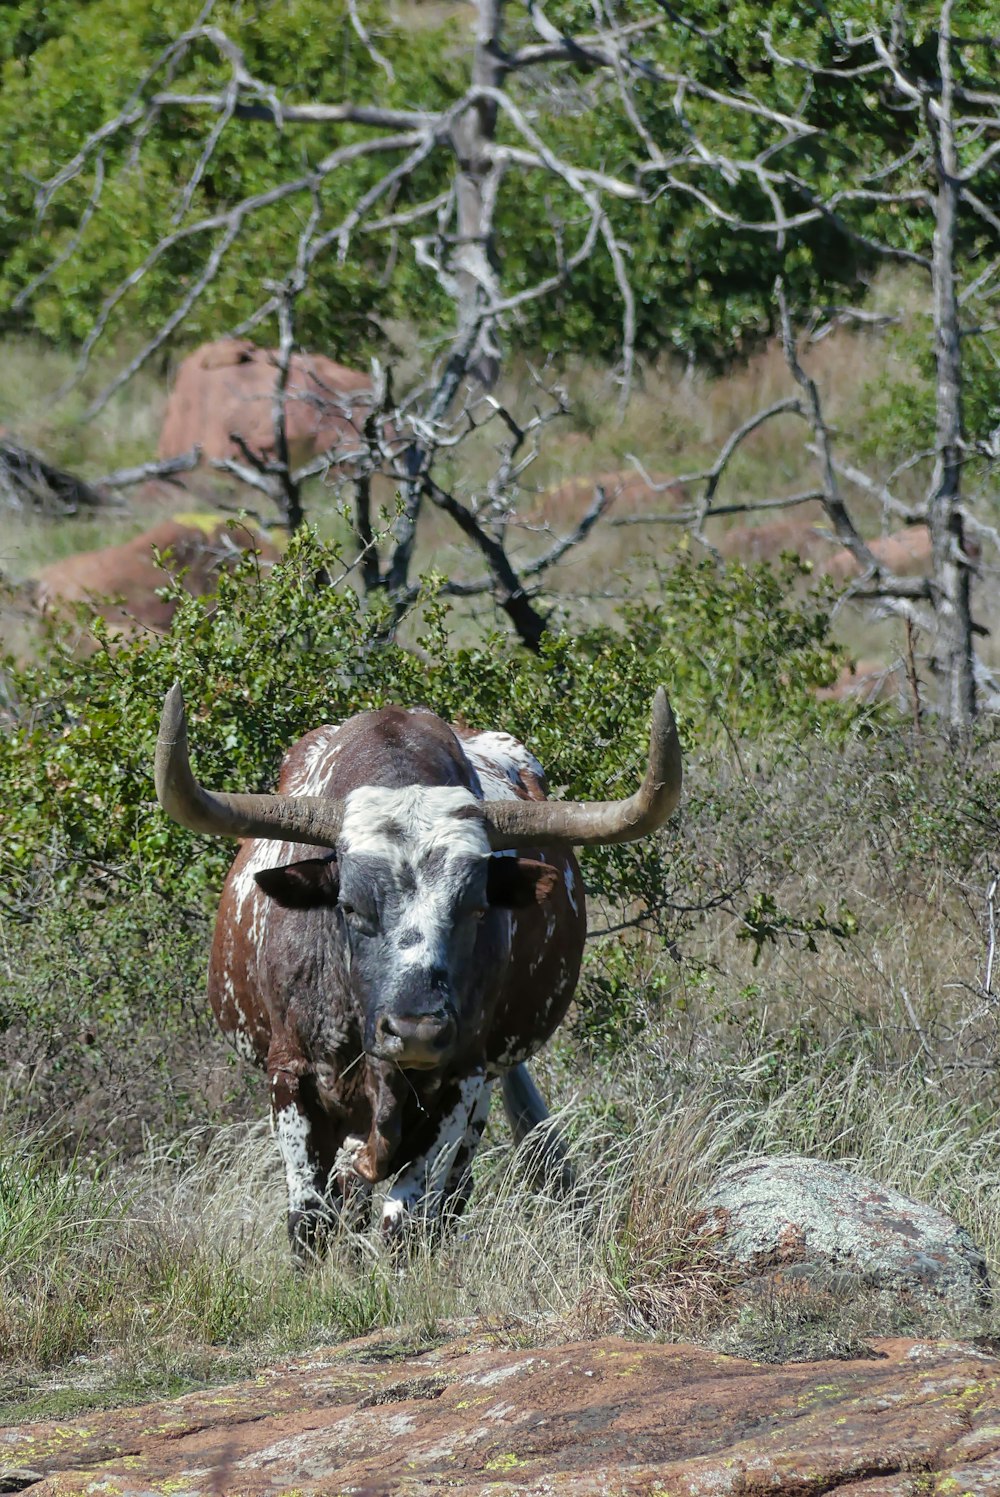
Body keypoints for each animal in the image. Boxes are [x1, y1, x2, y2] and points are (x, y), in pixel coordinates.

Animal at [154, 688, 679, 1251]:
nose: (416, 1031)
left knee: (446, 1195)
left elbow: (406, 1222)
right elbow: (311, 1221)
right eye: (349, 906)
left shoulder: (461, 1079)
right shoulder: (291, 1074)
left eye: (476, 907)